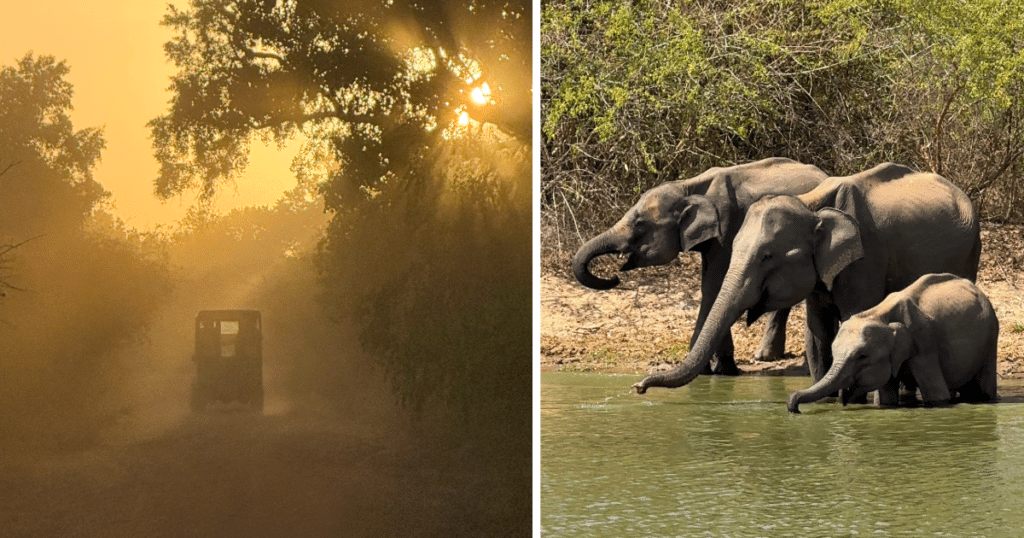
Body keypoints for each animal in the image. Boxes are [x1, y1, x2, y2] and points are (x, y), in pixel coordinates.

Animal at [572, 158, 826, 374]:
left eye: (640, 224)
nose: (614, 277)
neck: (687, 188)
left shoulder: (727, 229)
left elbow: (714, 286)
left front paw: (716, 370)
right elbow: (711, 285)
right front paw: (718, 369)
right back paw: (765, 357)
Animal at [632, 162, 981, 394]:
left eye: (767, 257)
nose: (638, 386)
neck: (811, 206)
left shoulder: (866, 260)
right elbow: (817, 335)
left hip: (970, 251)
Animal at [787, 273, 998, 413]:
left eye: (862, 356)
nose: (794, 406)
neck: (879, 314)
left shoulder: (923, 343)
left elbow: (937, 395)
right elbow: (885, 397)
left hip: (991, 335)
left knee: (984, 387)